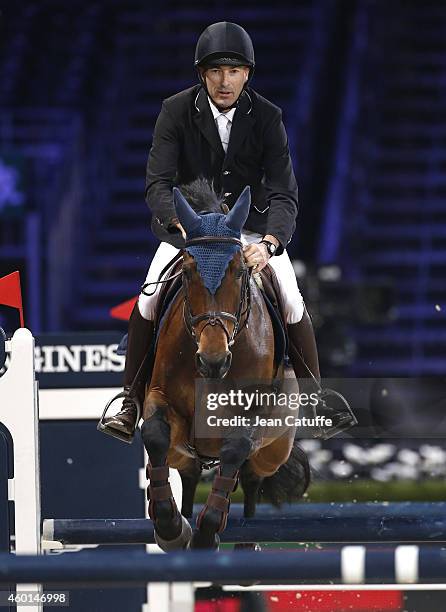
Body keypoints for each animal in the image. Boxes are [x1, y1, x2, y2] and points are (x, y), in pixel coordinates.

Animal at [141, 182, 308, 548]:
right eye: (188, 271)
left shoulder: (251, 414)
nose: (213, 360)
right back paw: (184, 520)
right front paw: (171, 528)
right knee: (189, 473)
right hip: (186, 451)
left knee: (251, 479)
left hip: (274, 449)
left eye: (240, 269)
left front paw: (207, 533)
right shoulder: (161, 398)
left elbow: (236, 450)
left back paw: (246, 542)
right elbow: (155, 435)